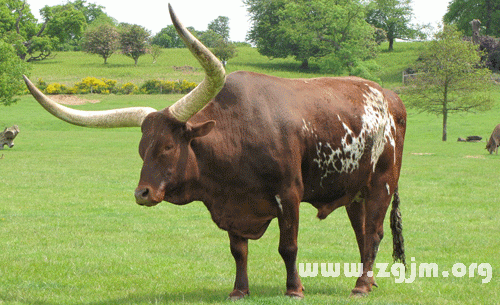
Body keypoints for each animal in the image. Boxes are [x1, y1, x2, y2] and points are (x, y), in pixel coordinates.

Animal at [23, 4, 406, 300]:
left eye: (167, 146)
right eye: (141, 149)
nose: (142, 193)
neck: (236, 138)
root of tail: (390, 96)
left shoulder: (289, 194)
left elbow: (288, 246)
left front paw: (294, 289)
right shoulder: (232, 201)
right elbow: (238, 250)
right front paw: (239, 291)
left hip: (381, 183)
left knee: (374, 233)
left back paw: (360, 286)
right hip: (355, 190)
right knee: (362, 233)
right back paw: (367, 282)